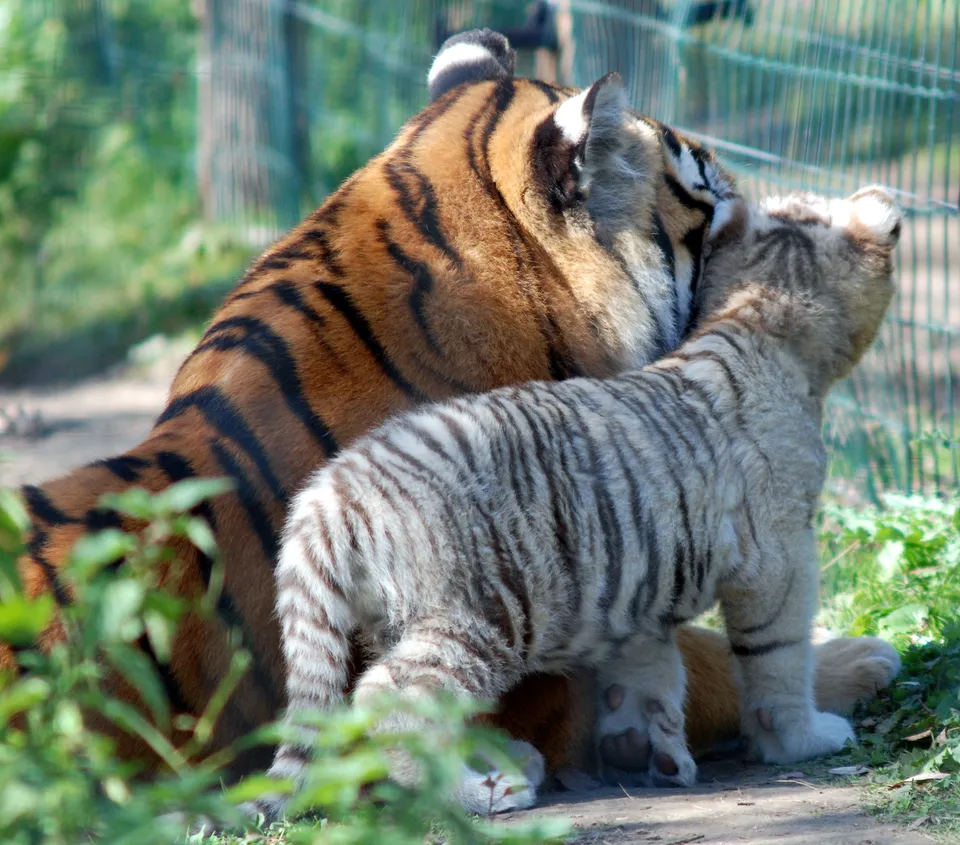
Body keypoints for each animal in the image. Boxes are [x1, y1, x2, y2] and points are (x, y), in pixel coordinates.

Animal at [257, 185, 901, 819]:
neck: (754, 317)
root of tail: (329, 496)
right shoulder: (780, 552)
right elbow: (780, 655)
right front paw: (803, 738)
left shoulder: (639, 583)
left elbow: (649, 670)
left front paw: (647, 749)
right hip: (483, 611)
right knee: (390, 695)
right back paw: (483, 791)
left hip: (396, 619)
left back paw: (509, 761)